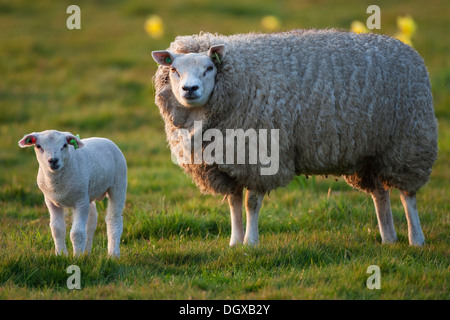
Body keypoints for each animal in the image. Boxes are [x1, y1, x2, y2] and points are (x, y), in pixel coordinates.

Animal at [150, 29, 436, 245]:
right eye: (174, 70)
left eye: (209, 68)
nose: (190, 89)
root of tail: (407, 49)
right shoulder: (225, 164)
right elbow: (233, 203)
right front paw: (234, 242)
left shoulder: (261, 156)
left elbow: (251, 203)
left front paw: (250, 243)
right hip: (370, 152)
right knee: (380, 194)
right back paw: (388, 238)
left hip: (409, 142)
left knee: (408, 196)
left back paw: (416, 239)